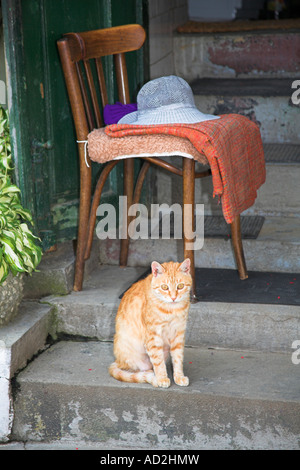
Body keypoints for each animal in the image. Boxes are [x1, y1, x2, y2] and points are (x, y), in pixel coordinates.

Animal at [109, 258, 191, 388]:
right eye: (164, 287)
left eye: (180, 286)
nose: (173, 298)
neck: (172, 309)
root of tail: (117, 361)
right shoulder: (153, 336)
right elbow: (158, 361)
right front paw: (162, 378)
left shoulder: (178, 333)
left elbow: (178, 358)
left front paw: (178, 376)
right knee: (137, 370)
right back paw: (153, 377)